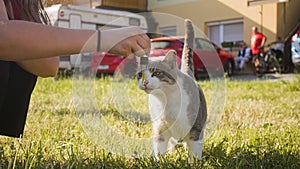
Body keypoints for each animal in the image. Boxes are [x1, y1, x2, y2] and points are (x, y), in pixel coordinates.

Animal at [138, 19, 206, 159]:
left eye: (156, 73)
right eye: (140, 74)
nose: (145, 82)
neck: (166, 100)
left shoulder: (195, 129)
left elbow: (194, 152)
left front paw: (194, 162)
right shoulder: (160, 129)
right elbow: (159, 150)